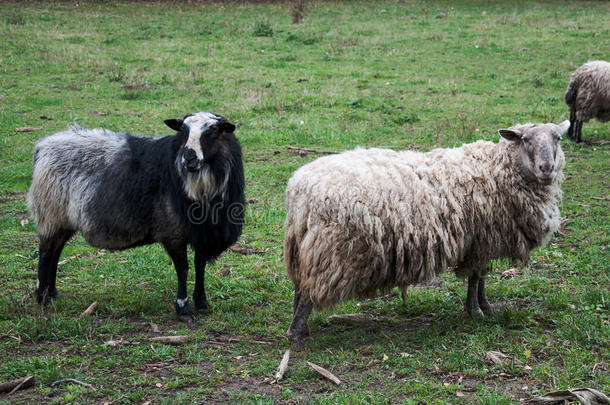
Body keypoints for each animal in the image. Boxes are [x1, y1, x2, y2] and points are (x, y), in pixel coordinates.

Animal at [282, 120, 568, 348]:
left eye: (558, 138)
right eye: (525, 140)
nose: (547, 168)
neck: (496, 168)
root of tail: (300, 188)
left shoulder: (483, 240)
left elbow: (482, 276)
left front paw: (486, 306)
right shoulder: (481, 240)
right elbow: (476, 277)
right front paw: (475, 311)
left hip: (303, 248)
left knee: (299, 287)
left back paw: (302, 328)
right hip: (330, 251)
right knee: (307, 293)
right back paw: (295, 336)